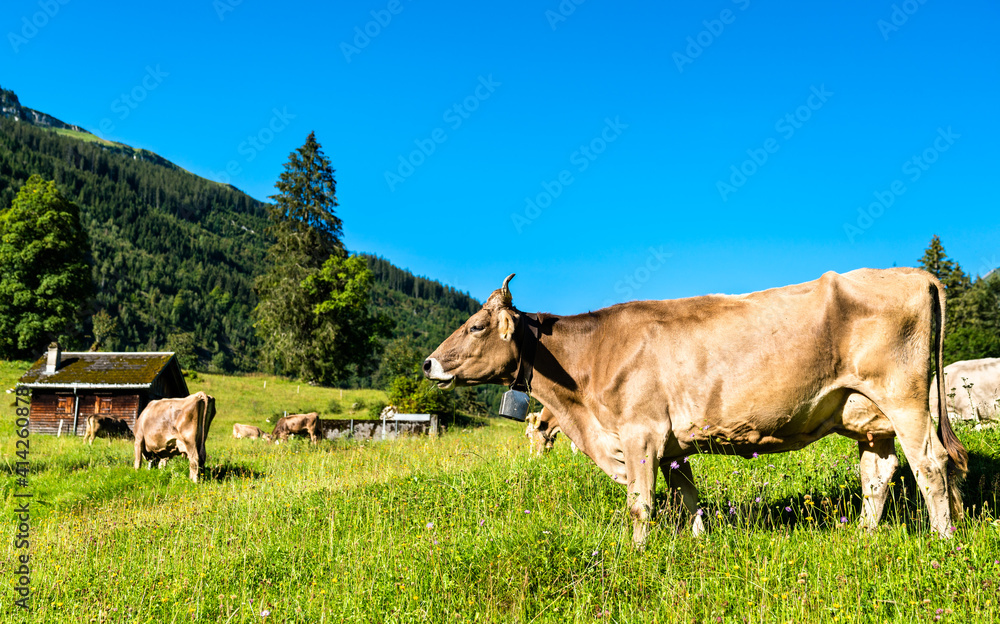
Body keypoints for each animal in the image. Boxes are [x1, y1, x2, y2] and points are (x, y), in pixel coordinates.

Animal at [424, 270, 968, 544]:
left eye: (475, 326)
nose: (429, 363)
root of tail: (915, 272)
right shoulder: (669, 443)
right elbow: (688, 495)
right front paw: (701, 541)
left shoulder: (639, 431)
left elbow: (641, 504)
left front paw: (639, 555)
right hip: (867, 414)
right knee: (879, 473)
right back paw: (863, 538)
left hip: (903, 398)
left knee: (930, 463)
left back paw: (943, 541)